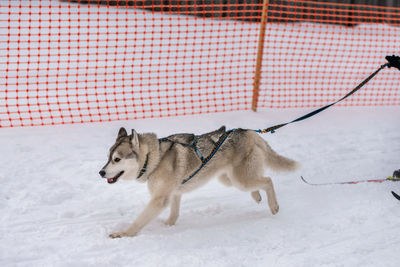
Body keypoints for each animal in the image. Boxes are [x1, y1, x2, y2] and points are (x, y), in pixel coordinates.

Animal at [99, 126, 298, 240]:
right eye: (108, 158)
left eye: (117, 159)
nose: (101, 172)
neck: (154, 158)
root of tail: (248, 132)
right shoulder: (174, 193)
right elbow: (174, 214)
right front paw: (168, 225)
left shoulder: (159, 199)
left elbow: (139, 221)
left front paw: (124, 233)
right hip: (229, 179)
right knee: (259, 181)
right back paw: (256, 197)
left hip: (240, 179)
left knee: (268, 181)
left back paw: (273, 206)